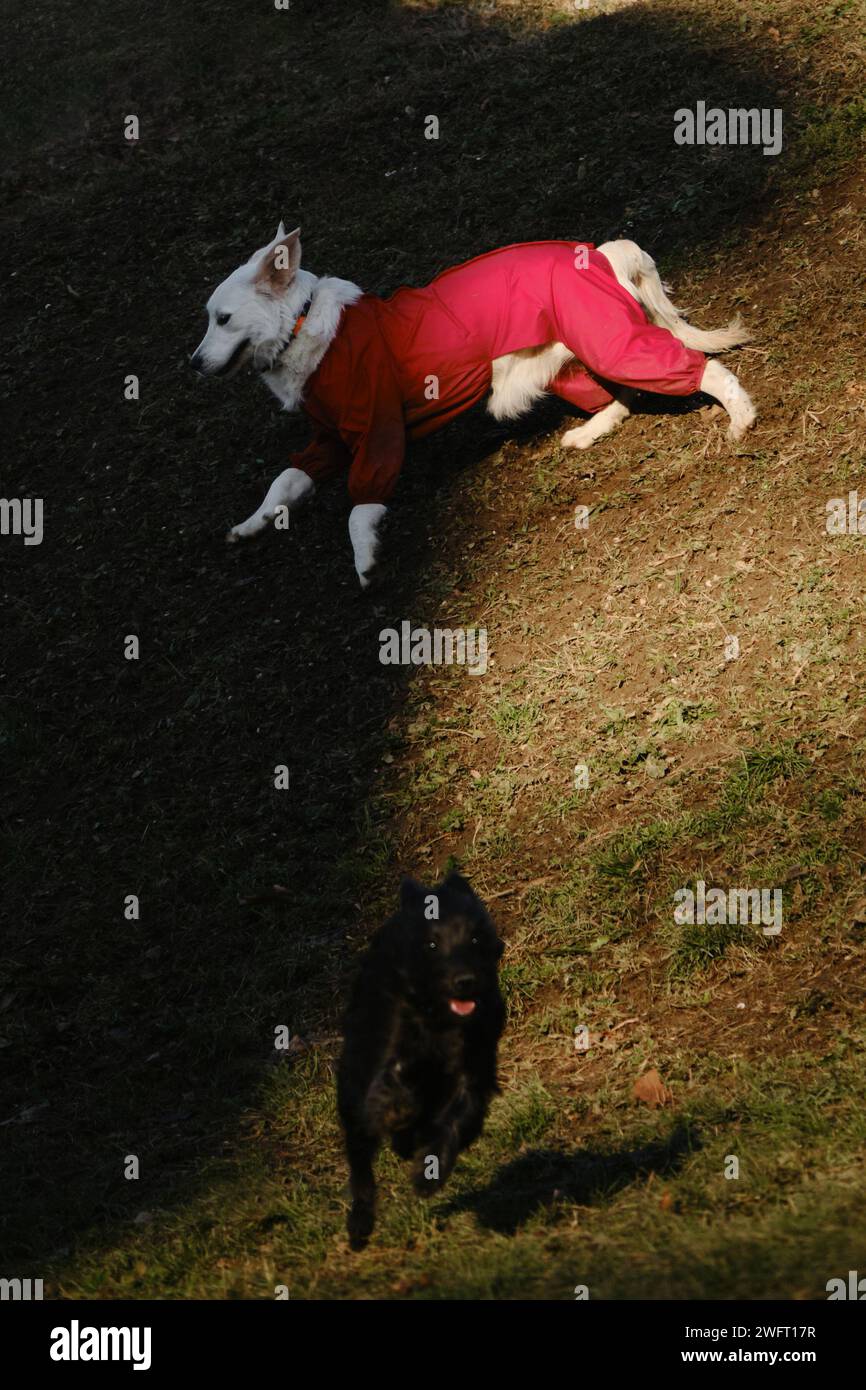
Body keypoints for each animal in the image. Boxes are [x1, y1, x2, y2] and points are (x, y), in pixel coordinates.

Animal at [335, 867, 505, 1251]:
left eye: (476, 938)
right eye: (431, 944)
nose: (464, 981)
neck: (440, 1019)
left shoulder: (474, 1069)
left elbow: (457, 1117)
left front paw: (430, 1173)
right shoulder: (387, 1051)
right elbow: (391, 1084)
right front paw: (398, 1111)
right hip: (353, 1095)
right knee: (361, 1162)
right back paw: (360, 1222)